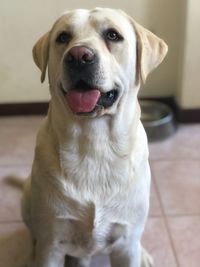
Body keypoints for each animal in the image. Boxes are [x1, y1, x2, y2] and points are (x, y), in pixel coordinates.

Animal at [20, 7, 167, 266]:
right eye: (63, 37)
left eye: (113, 35)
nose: (79, 56)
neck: (94, 143)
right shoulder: (52, 245)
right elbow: (44, 241)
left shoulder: (126, 244)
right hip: (28, 199)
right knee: (33, 235)